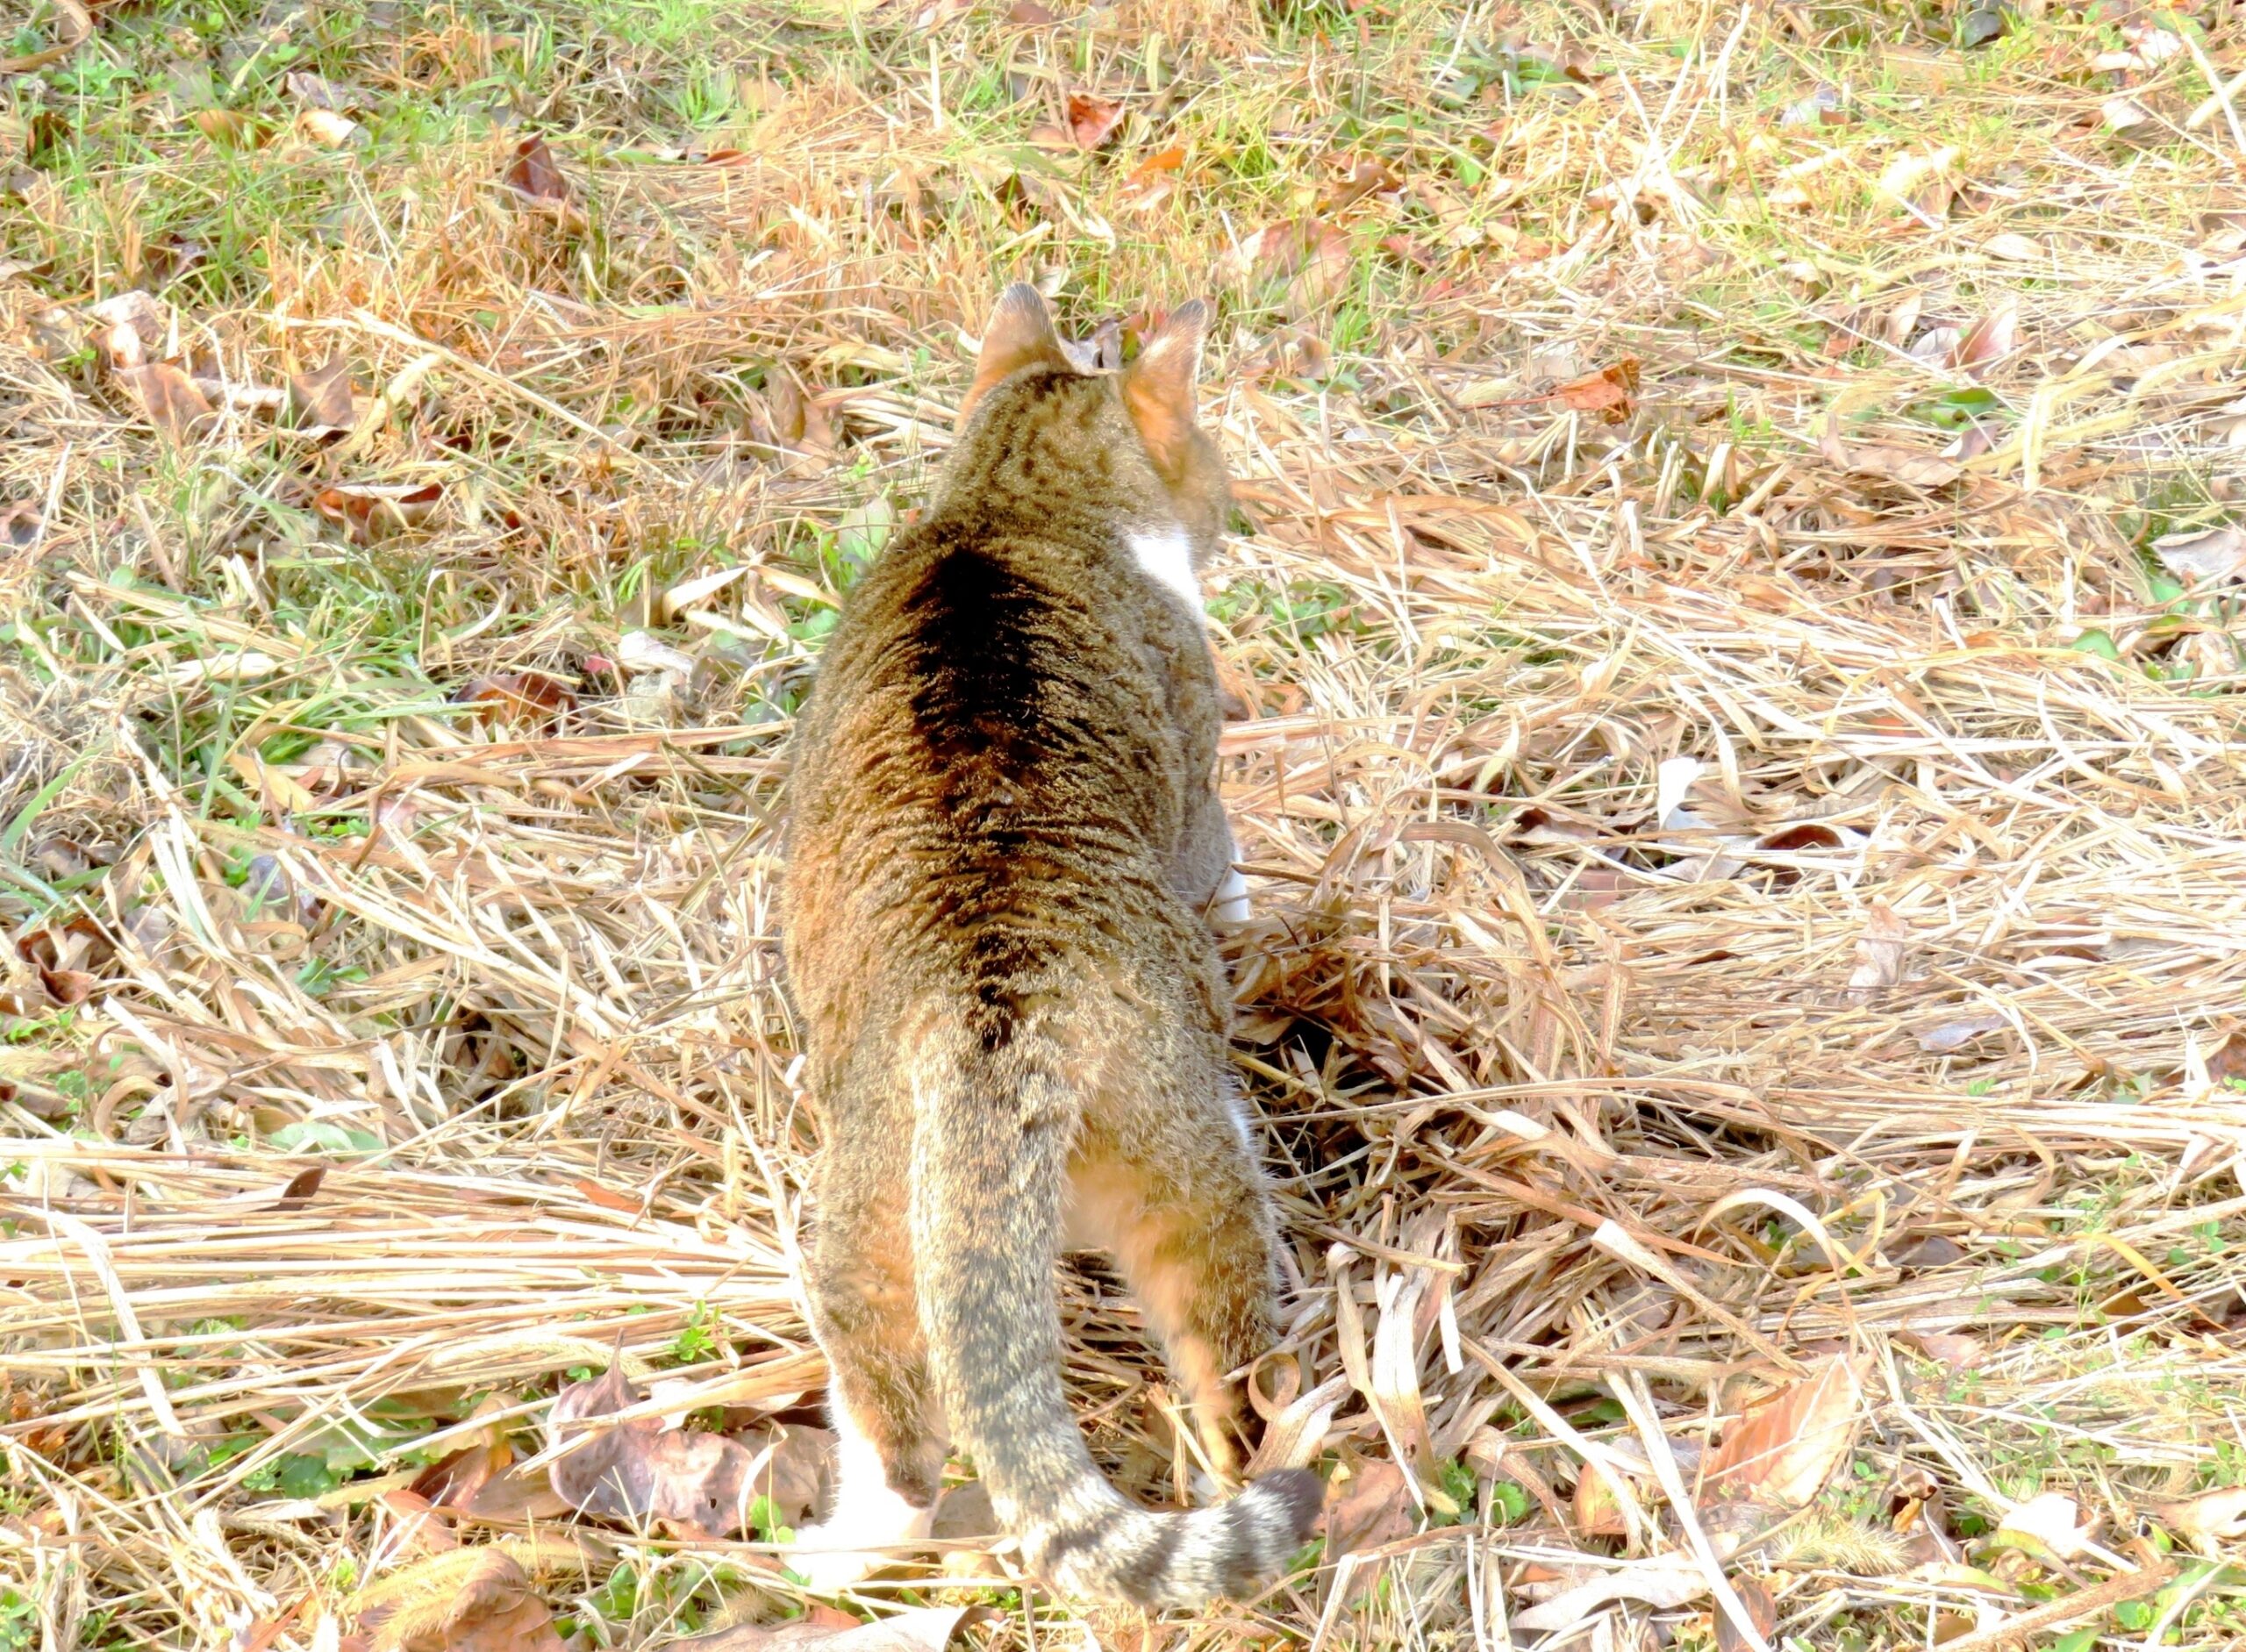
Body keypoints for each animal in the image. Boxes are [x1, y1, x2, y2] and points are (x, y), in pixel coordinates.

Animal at [781, 287, 1320, 1616]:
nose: (1230, 502)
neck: (1003, 506)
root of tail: (1006, 1015)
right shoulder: (1200, 791)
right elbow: (1225, 881)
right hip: (1194, 1164)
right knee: (1229, 1385)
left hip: (870, 1229)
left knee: (906, 1433)